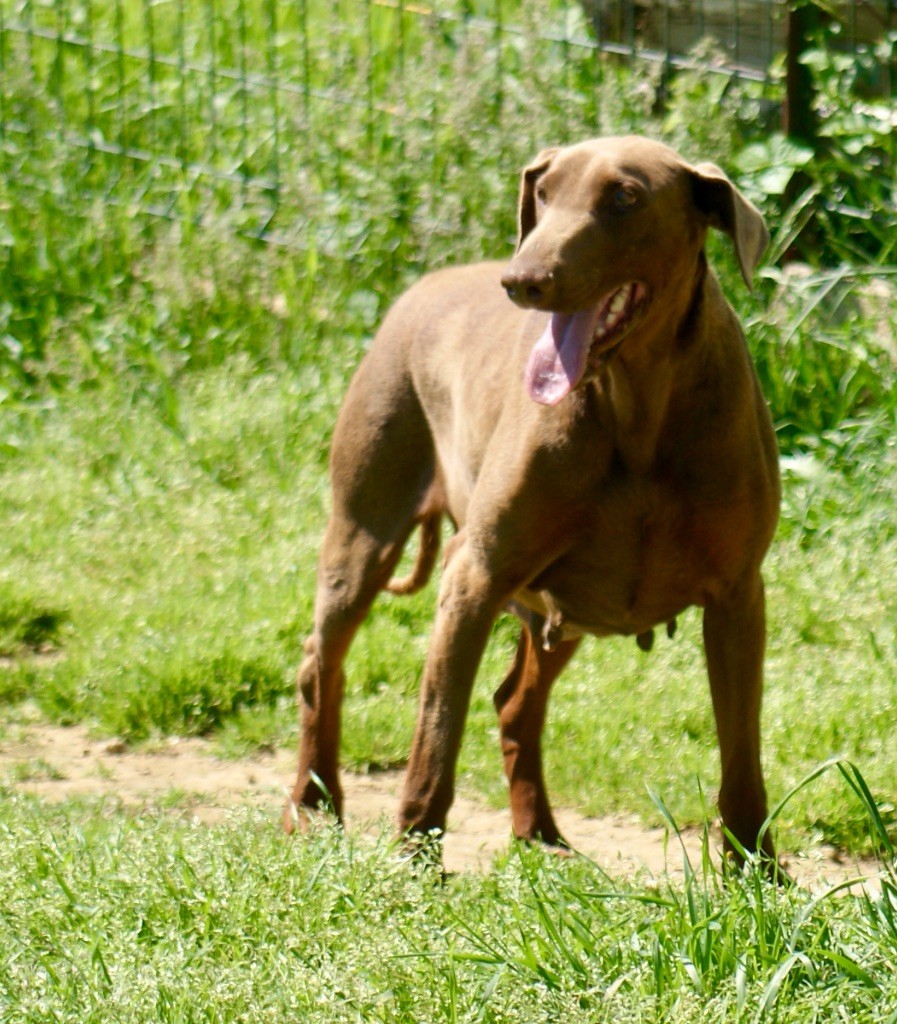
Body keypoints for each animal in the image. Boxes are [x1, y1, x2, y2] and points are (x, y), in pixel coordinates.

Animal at [284, 132, 778, 860]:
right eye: (543, 193)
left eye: (624, 197)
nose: (522, 281)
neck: (636, 404)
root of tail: (426, 283)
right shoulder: (474, 576)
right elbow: (435, 737)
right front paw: (413, 861)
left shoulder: (737, 596)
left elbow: (741, 758)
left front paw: (758, 872)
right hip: (363, 535)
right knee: (322, 665)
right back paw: (312, 804)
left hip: (563, 608)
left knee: (515, 703)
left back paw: (539, 833)